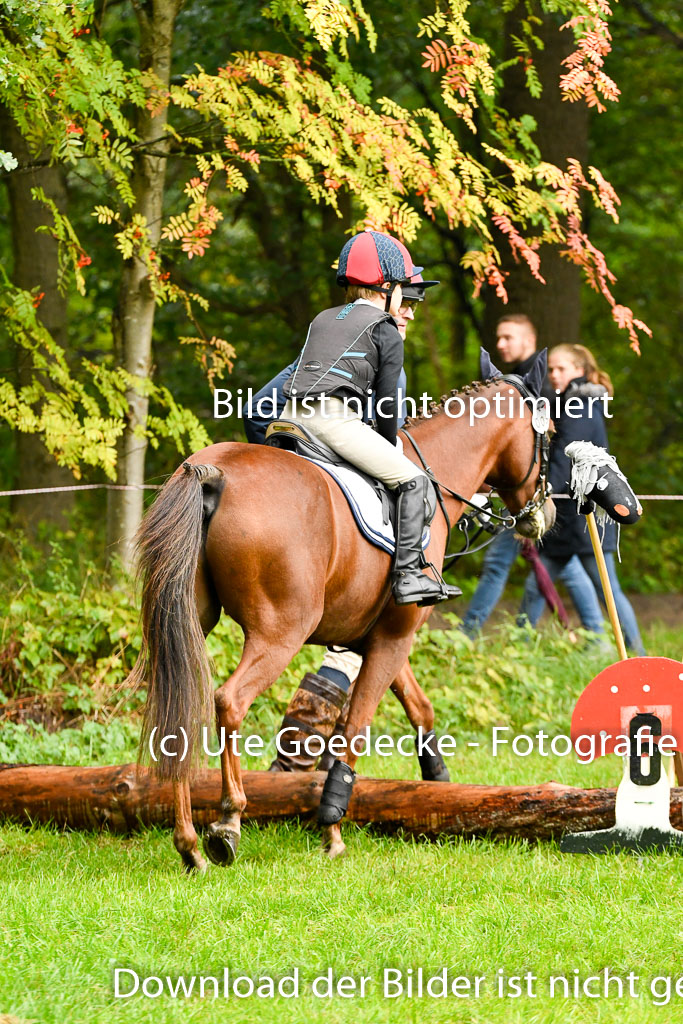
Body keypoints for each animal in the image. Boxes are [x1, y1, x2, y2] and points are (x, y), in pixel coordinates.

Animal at [131, 362, 555, 871]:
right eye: (549, 436)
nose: (547, 514)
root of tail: (211, 473)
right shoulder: (394, 639)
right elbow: (353, 729)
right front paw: (332, 828)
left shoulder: (378, 637)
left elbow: (418, 707)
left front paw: (438, 779)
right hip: (280, 632)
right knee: (229, 701)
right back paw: (228, 822)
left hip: (187, 622)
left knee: (177, 708)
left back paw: (189, 844)